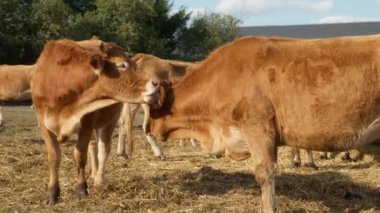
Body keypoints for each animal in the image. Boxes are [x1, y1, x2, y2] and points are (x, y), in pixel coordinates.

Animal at [30, 38, 159, 205]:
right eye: (122, 65)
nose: (156, 83)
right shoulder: (44, 125)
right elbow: (54, 158)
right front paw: (52, 194)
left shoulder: (86, 123)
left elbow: (80, 157)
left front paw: (81, 190)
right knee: (93, 147)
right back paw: (93, 172)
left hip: (108, 122)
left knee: (103, 149)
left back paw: (98, 179)